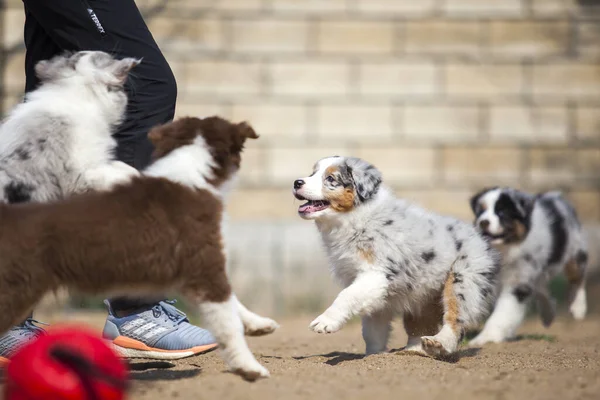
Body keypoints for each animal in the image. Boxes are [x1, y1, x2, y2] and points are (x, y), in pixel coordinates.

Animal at [0, 116, 278, 382]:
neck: (190, 164)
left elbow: (233, 303)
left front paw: (258, 324)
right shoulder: (204, 265)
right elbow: (228, 320)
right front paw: (249, 367)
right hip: (17, 289)